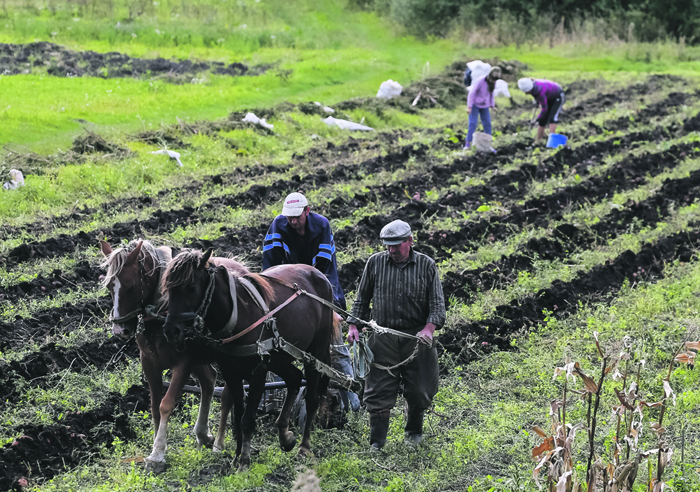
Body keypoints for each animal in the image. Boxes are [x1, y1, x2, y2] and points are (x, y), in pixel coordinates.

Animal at [98, 240, 241, 470]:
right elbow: (155, 406)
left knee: (228, 394)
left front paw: (157, 454)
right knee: (209, 380)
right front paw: (155, 446)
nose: (120, 331)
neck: (159, 312)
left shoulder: (184, 362)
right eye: (110, 287)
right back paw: (203, 434)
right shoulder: (149, 362)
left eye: (130, 286)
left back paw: (218, 443)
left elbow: (166, 404)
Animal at [163, 250, 338, 468]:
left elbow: (247, 420)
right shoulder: (231, 372)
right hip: (279, 357)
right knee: (294, 378)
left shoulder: (258, 372)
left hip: (316, 352)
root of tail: (318, 273)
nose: (171, 331)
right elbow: (238, 415)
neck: (239, 315)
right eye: (168, 289)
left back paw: (304, 448)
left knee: (312, 397)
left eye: (191, 287)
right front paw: (237, 456)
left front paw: (244, 461)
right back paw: (285, 436)